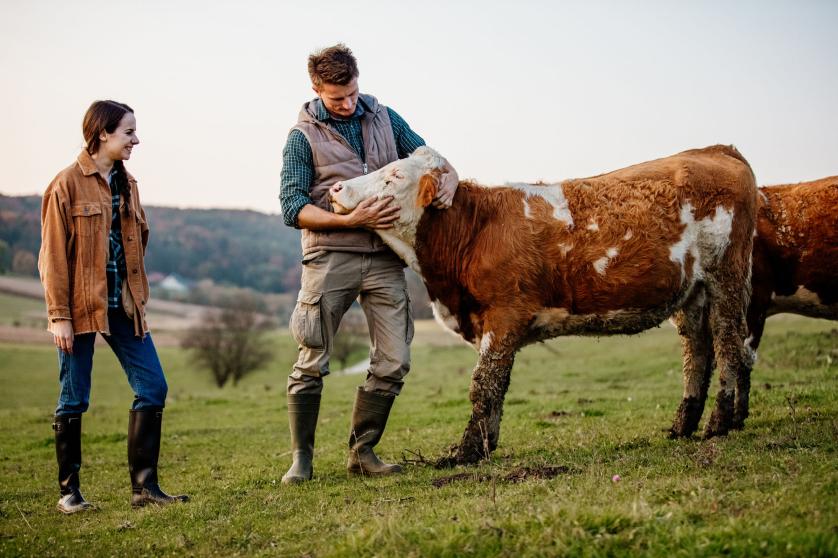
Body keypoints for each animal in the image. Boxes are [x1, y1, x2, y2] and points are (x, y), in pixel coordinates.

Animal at [330, 145, 758, 465]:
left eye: (393, 176)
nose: (335, 189)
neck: (475, 230)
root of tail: (716, 150)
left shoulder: (505, 313)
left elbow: (483, 384)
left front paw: (466, 452)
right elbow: (497, 385)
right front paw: (487, 444)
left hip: (726, 279)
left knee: (729, 347)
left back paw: (718, 424)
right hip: (692, 294)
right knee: (698, 353)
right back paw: (683, 426)